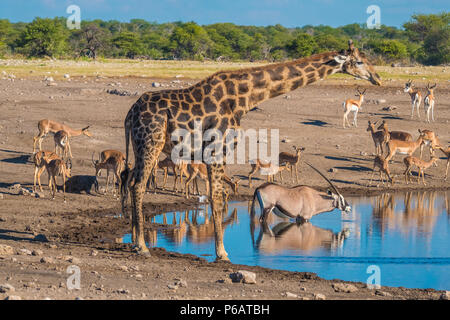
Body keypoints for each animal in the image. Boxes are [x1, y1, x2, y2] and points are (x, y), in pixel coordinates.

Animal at [119, 40, 380, 260]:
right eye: (359, 61)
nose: (377, 78)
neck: (242, 99)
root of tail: (130, 114)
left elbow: (217, 196)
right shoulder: (217, 150)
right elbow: (217, 197)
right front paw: (222, 254)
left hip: (140, 146)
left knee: (130, 181)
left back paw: (134, 241)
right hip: (150, 144)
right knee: (139, 185)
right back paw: (142, 246)